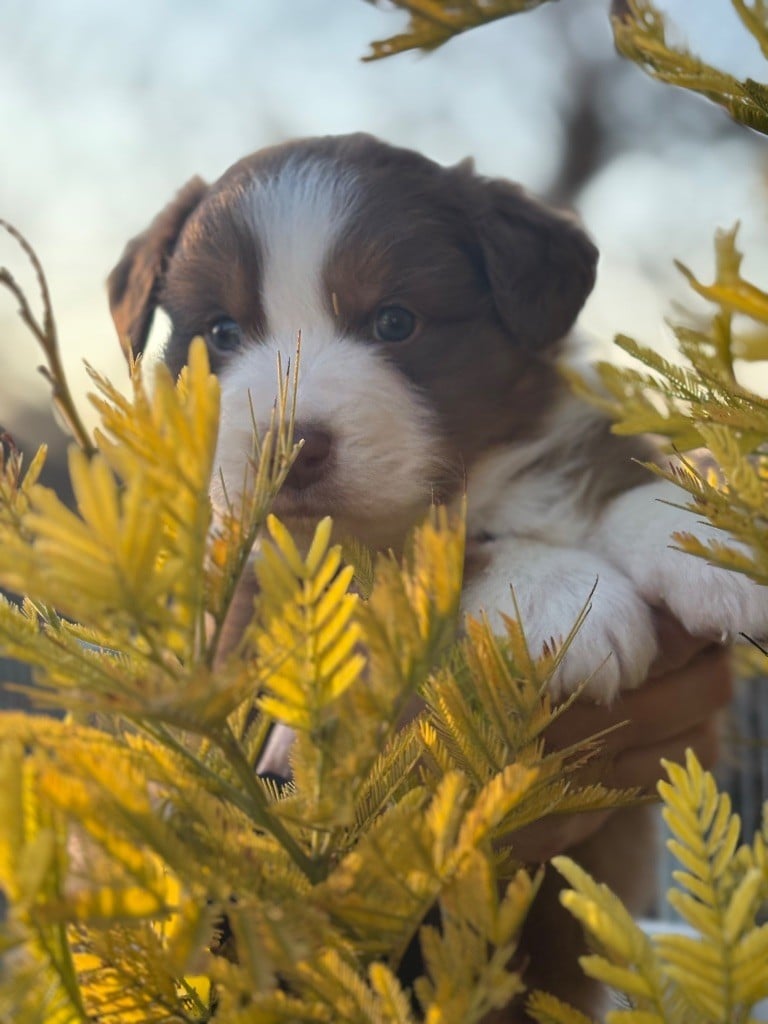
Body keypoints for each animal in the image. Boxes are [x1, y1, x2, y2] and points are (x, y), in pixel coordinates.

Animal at [108, 134, 768, 1015]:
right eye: (220, 331)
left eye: (395, 322)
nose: (293, 443)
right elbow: (446, 553)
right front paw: (566, 598)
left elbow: (620, 469)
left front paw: (706, 537)